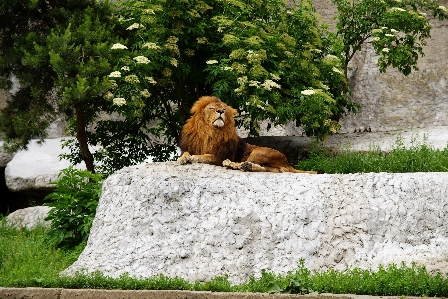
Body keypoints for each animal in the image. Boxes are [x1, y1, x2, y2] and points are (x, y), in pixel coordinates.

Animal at [177, 96, 320, 173]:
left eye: (224, 109)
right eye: (211, 108)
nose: (220, 111)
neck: (210, 132)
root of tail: (287, 162)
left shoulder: (221, 156)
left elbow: (206, 156)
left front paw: (194, 157)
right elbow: (186, 153)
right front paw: (183, 158)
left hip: (258, 152)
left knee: (244, 162)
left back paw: (234, 164)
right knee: (266, 170)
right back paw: (246, 166)